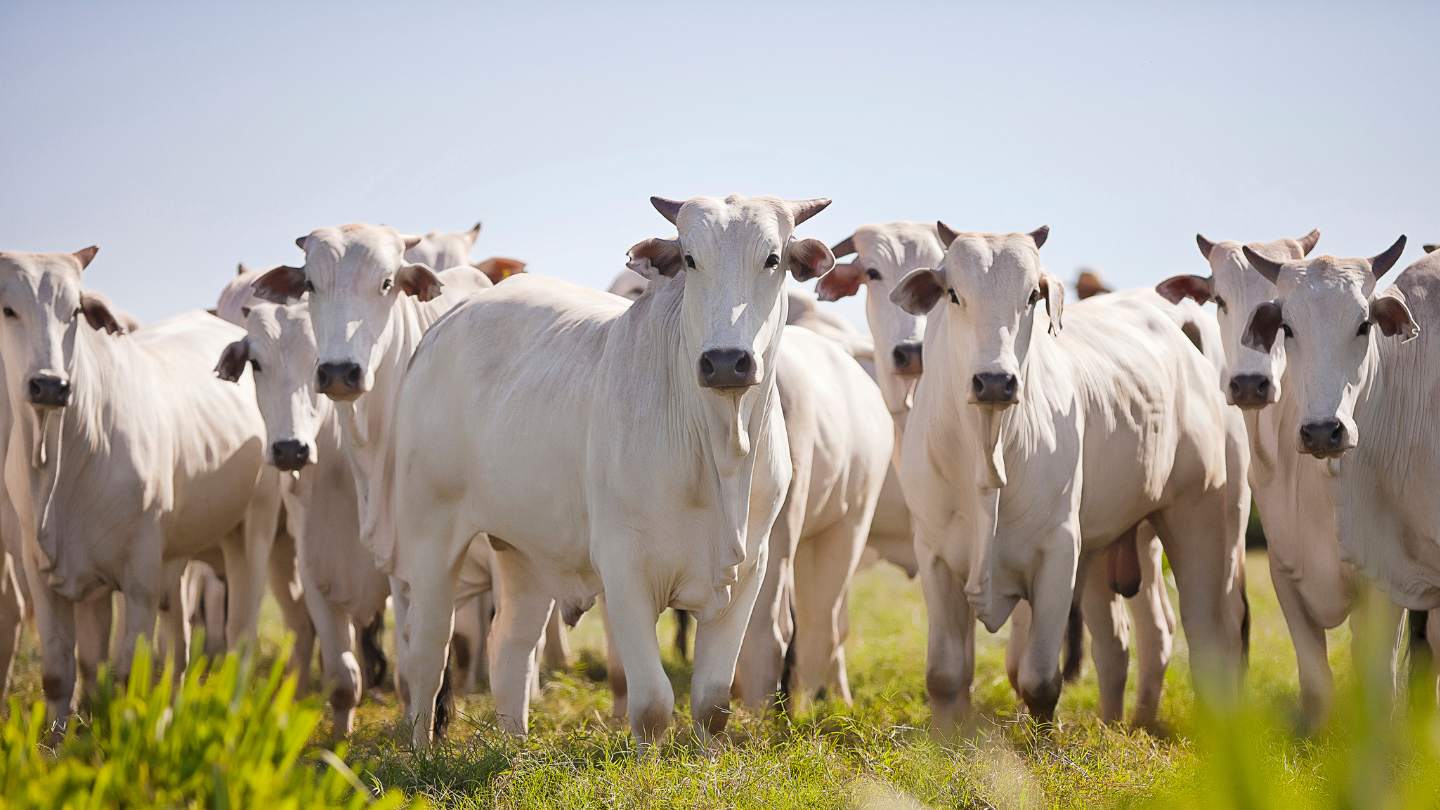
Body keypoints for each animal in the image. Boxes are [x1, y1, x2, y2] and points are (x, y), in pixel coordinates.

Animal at [0, 249, 280, 720]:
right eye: (7, 309)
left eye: (74, 310)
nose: (50, 385)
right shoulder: (46, 573)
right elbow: (67, 674)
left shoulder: (138, 576)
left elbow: (127, 674)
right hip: (177, 558)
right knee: (179, 646)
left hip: (252, 530)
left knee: (239, 635)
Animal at [388, 190, 840, 743]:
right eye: (690, 259)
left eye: (773, 259)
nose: (725, 361)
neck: (720, 449)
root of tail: (444, 326)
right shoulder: (624, 570)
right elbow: (651, 704)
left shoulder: (749, 570)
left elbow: (713, 703)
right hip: (429, 536)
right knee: (427, 651)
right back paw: (421, 748)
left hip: (523, 549)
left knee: (510, 645)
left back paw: (517, 747)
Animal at [892, 223, 1244, 729]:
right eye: (953, 294)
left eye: (1031, 297)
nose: (995, 381)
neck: (987, 453)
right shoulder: (935, 554)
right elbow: (945, 675)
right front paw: (945, 738)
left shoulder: (1059, 551)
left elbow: (1040, 680)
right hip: (1112, 545)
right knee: (1127, 641)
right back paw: (1122, 723)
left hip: (1201, 518)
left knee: (1207, 635)